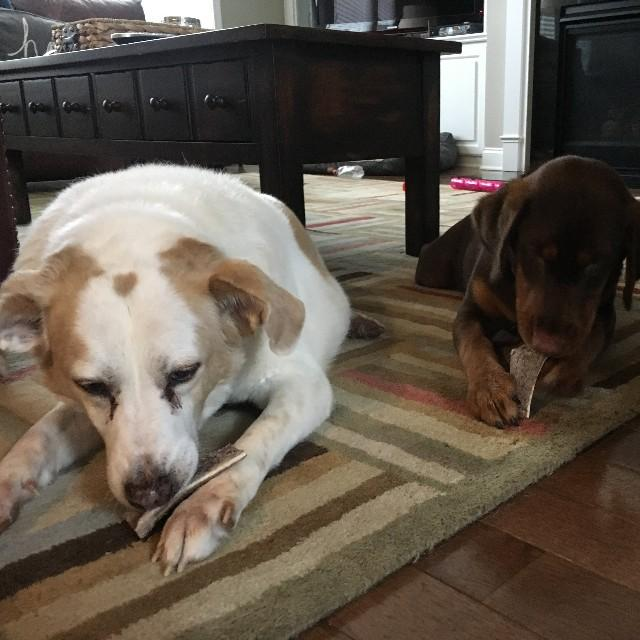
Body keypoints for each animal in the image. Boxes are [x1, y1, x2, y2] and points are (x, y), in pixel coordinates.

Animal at [0, 164, 351, 573]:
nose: (150, 492)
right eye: (92, 386)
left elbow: (257, 438)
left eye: (184, 373)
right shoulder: (79, 405)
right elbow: (38, 437)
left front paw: (204, 504)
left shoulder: (304, 385)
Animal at [415, 156, 640, 427]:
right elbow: (474, 342)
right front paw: (490, 390)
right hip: (432, 269)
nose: (548, 345)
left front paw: (565, 371)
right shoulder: (472, 309)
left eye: (595, 266)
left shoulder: (604, 311)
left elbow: (592, 339)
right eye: (536, 254)